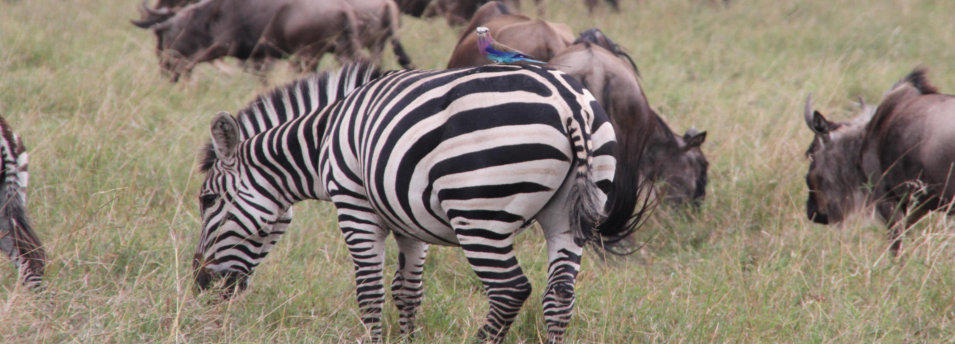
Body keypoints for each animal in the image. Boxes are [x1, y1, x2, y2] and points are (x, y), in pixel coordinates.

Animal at [190, 63, 648, 342]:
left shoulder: (355, 205)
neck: (324, 143)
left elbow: (370, 290)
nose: (200, 285)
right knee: (559, 295)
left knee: (509, 290)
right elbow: (408, 291)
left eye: (208, 199)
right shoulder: (410, 221)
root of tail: (567, 99)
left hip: (480, 213)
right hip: (568, 217)